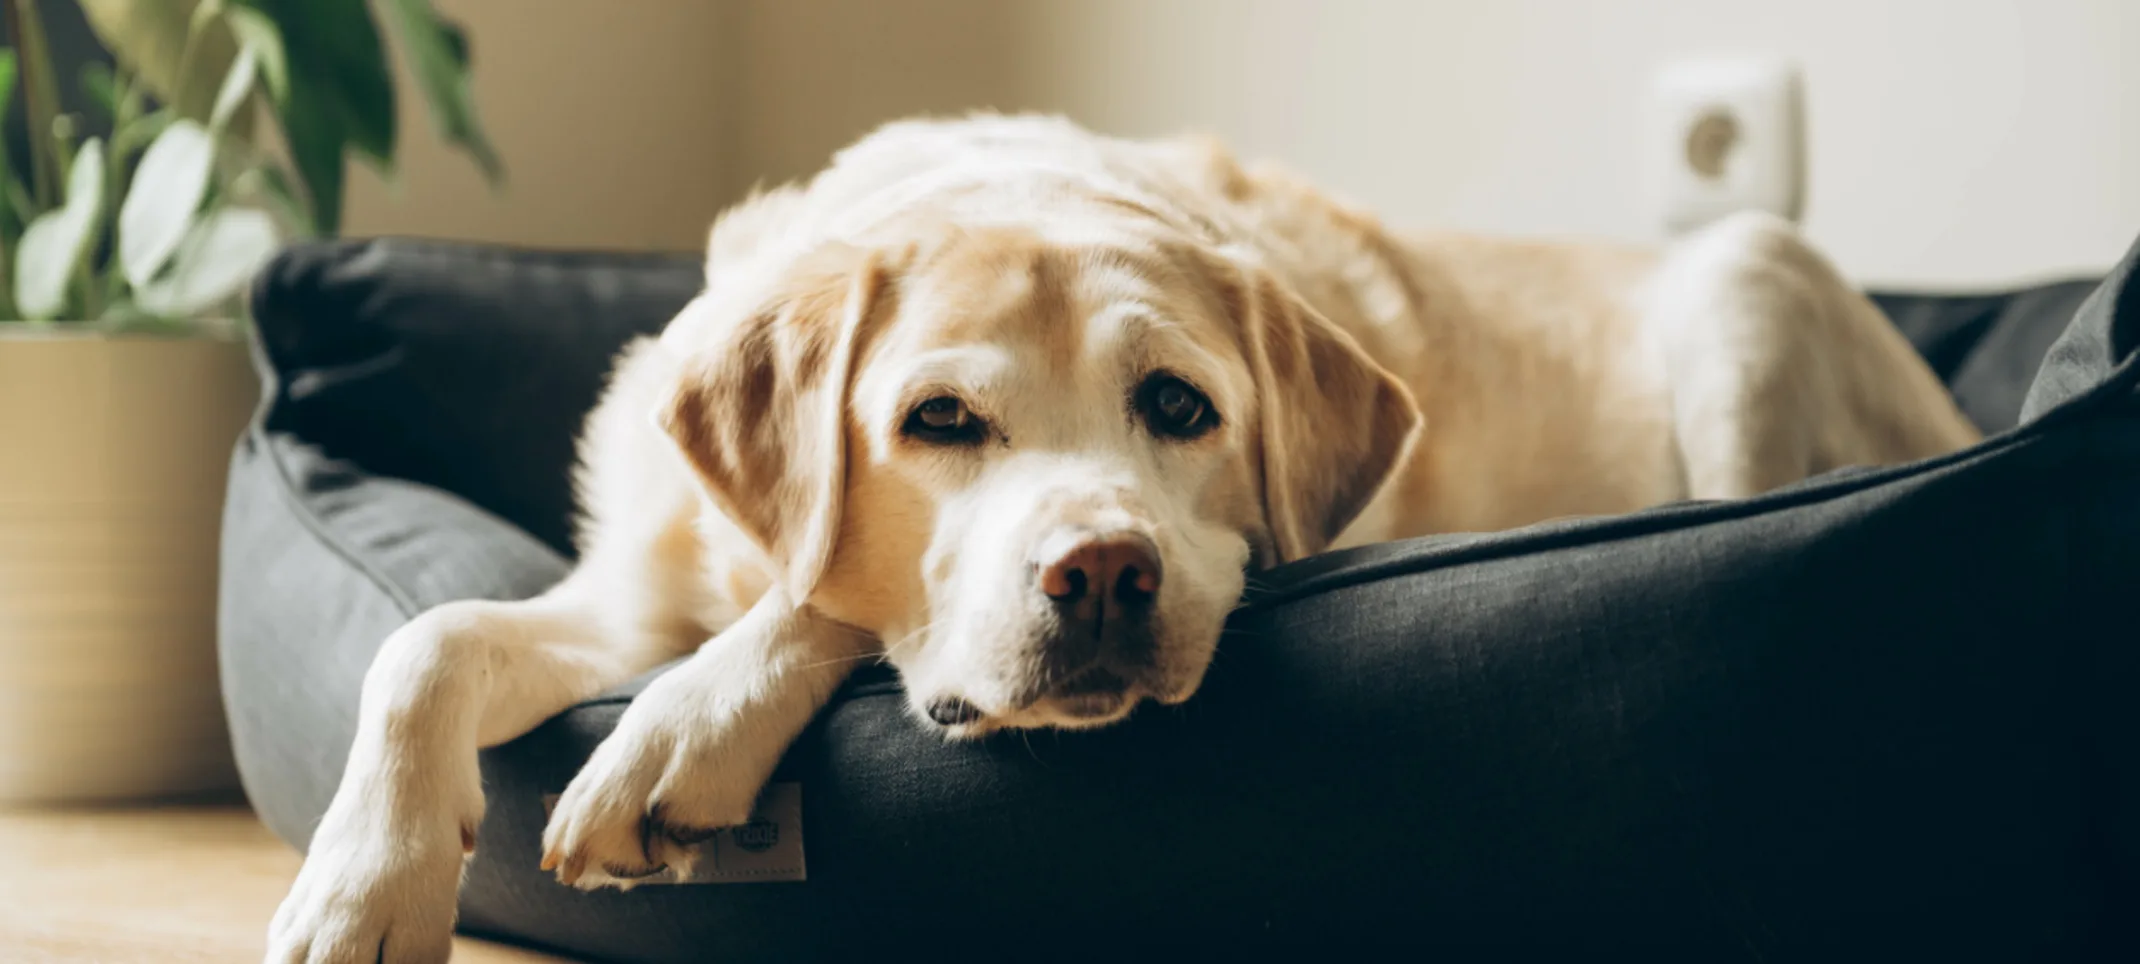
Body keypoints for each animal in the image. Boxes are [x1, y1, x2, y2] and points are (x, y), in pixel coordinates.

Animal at [276, 114, 1977, 964]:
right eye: (939, 421)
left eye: (1178, 406)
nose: (1101, 575)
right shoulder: (628, 596)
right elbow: (425, 641)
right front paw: (360, 890)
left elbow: (828, 606)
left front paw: (682, 731)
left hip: (1745, 275)